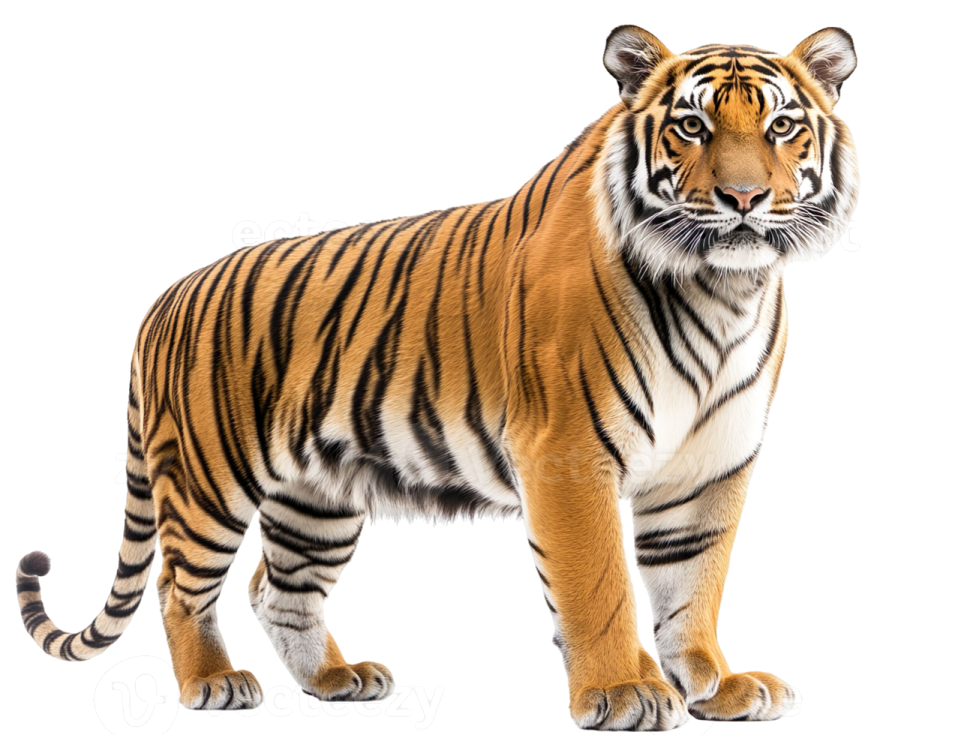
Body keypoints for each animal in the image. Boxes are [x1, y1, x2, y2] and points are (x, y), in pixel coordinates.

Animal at [15, 25, 858, 731]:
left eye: (782, 127)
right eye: (691, 126)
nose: (744, 199)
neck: (724, 289)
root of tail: (163, 299)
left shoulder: (709, 463)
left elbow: (693, 583)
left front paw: (718, 686)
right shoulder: (568, 453)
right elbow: (599, 582)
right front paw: (624, 691)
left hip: (316, 496)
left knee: (277, 587)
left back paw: (335, 679)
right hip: (207, 476)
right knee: (179, 583)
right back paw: (211, 683)